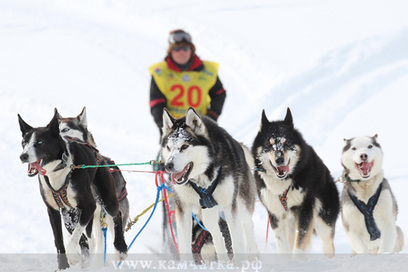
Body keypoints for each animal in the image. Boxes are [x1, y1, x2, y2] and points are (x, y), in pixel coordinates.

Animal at [18, 110, 126, 270]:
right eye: (24, 142)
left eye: (40, 142)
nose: (23, 156)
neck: (58, 169)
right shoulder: (53, 211)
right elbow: (59, 240)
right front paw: (63, 266)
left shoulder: (89, 207)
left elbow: (75, 236)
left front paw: (73, 256)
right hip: (69, 214)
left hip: (106, 198)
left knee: (116, 215)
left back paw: (120, 248)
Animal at [160, 107, 258, 260]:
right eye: (169, 147)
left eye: (185, 146)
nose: (168, 165)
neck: (202, 178)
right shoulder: (183, 209)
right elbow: (185, 247)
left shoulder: (230, 206)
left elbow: (237, 242)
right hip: (207, 213)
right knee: (216, 234)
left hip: (242, 203)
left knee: (247, 225)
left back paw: (253, 254)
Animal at [253, 108, 340, 258]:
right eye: (269, 144)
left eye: (287, 142)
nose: (279, 159)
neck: (282, 184)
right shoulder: (275, 214)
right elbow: (282, 246)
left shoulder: (304, 210)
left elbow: (300, 243)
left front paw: (297, 261)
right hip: (291, 222)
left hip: (323, 220)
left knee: (329, 245)